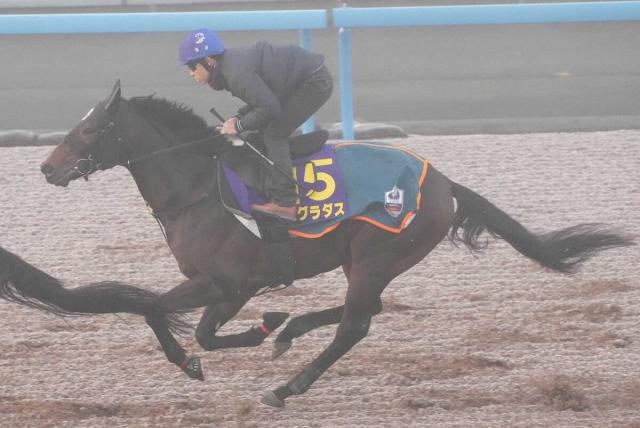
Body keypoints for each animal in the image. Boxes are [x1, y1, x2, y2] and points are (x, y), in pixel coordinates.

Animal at [3, 80, 632, 408]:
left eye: (90, 129)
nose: (46, 167)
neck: (199, 187)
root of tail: (445, 183)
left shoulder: (232, 282)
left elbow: (171, 317)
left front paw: (202, 357)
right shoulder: (223, 285)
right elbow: (178, 319)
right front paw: (259, 331)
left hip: (377, 255)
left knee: (356, 324)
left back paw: (288, 385)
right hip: (367, 259)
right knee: (368, 309)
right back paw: (292, 331)